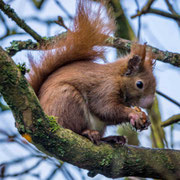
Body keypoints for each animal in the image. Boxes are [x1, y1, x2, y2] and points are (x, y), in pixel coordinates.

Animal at [28, 0, 156, 143]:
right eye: (139, 84)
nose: (149, 104)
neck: (118, 77)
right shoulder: (105, 88)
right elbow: (105, 109)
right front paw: (133, 114)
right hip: (67, 101)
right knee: (72, 128)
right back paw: (87, 132)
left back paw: (111, 138)